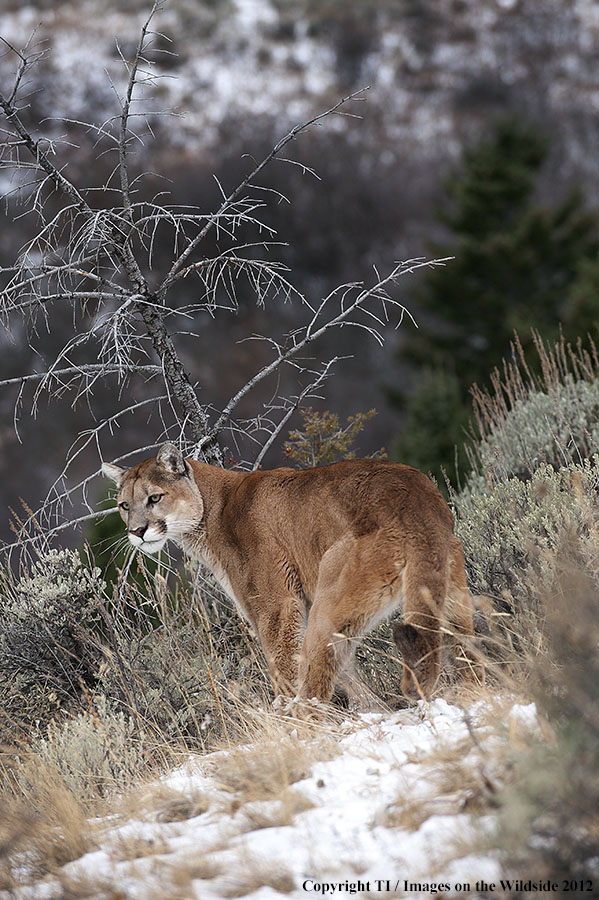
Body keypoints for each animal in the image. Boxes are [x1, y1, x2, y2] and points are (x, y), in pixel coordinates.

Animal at [102, 442, 481, 703]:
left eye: (154, 498)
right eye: (124, 505)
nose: (136, 531)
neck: (211, 511)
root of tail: (416, 498)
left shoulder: (275, 605)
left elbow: (283, 663)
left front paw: (285, 712)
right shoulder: (302, 603)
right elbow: (346, 672)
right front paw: (370, 707)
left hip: (332, 596)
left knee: (316, 678)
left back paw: (300, 727)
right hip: (449, 596)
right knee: (469, 658)